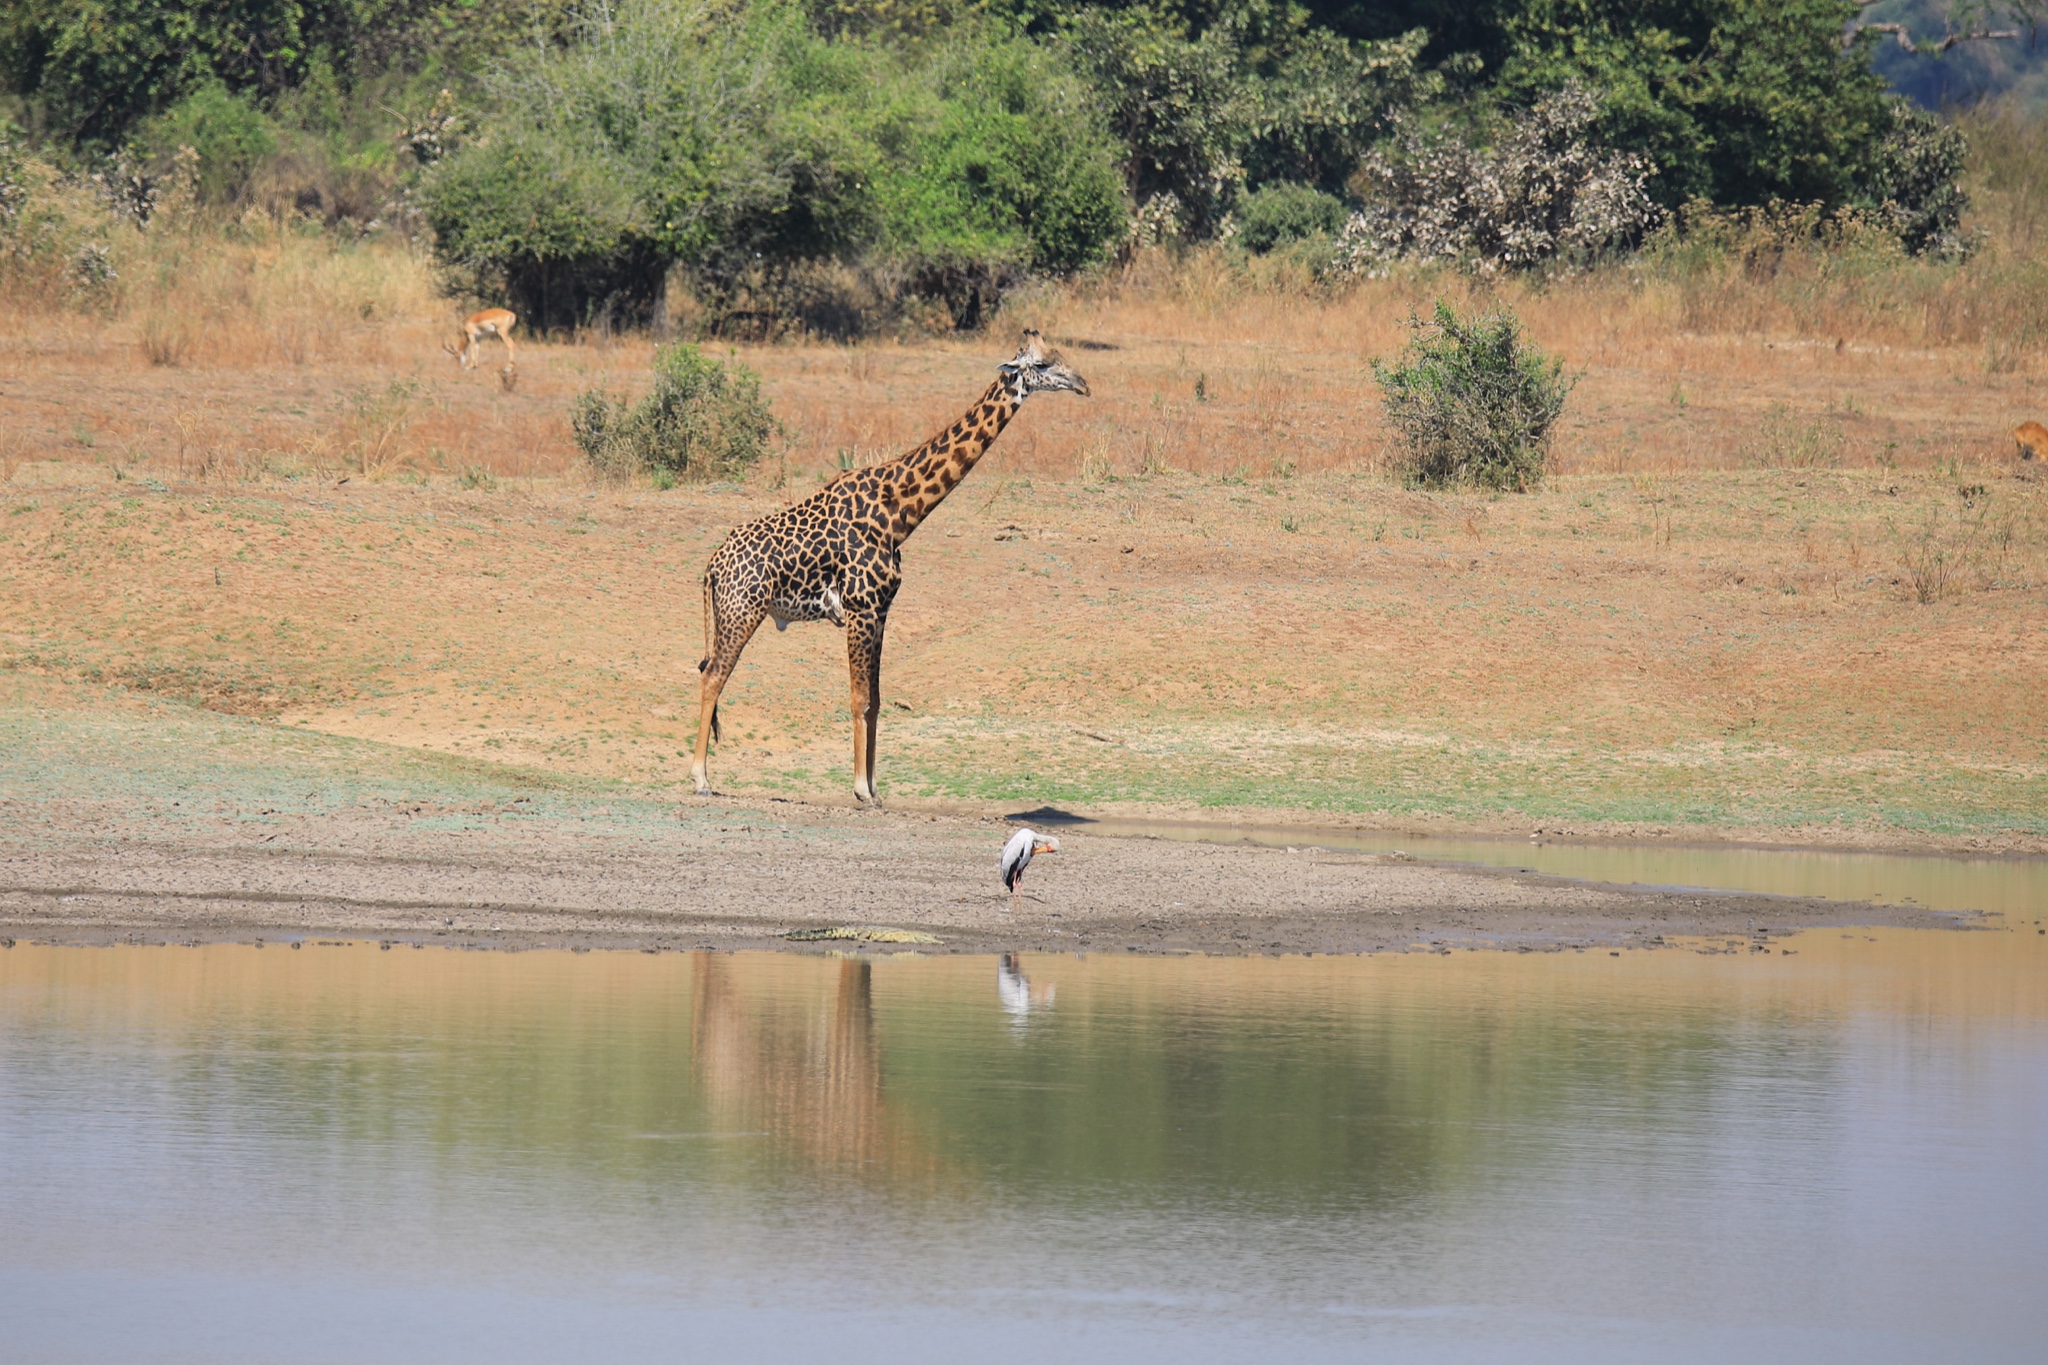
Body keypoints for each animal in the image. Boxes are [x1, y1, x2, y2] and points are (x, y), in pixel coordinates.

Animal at [692, 327, 1089, 802]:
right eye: (1043, 364)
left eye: (1061, 355)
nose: (1084, 384)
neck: (898, 512)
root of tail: (713, 565)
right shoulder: (860, 608)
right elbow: (858, 697)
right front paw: (860, 790)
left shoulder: (882, 611)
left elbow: (878, 700)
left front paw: (876, 789)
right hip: (742, 611)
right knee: (713, 676)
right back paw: (700, 779)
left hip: (731, 613)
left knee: (707, 671)